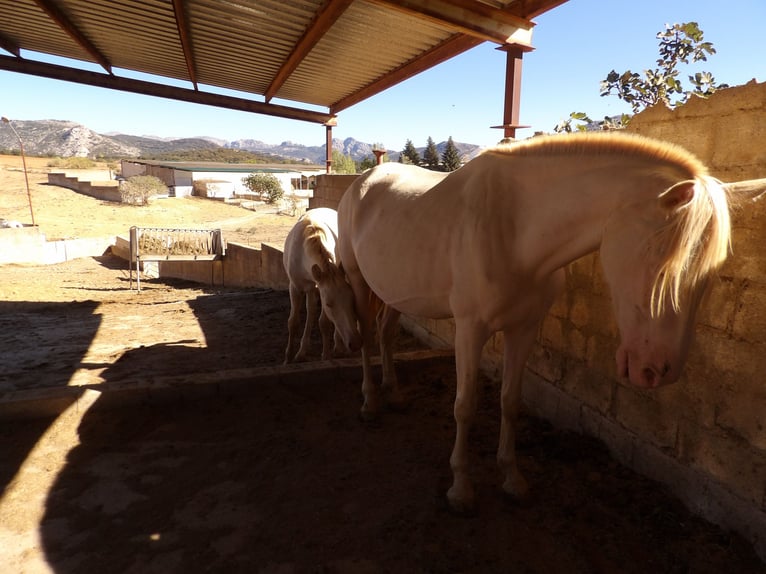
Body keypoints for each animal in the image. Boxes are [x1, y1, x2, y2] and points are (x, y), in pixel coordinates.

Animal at [284, 208, 364, 364]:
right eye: (328, 304)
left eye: (351, 300)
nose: (356, 343)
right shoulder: (296, 287)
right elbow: (293, 322)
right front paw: (288, 358)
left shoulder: (322, 288)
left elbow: (324, 323)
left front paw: (326, 356)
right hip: (310, 288)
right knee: (310, 311)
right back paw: (302, 352)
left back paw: (338, 345)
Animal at [340, 133, 736, 516]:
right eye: (662, 262)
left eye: (709, 274)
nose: (656, 371)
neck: (514, 229)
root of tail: (364, 180)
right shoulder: (470, 331)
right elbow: (465, 406)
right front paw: (461, 489)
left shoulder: (524, 329)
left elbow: (511, 401)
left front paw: (512, 479)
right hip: (359, 282)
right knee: (365, 338)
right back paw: (370, 403)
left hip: (395, 292)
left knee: (386, 334)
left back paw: (393, 394)